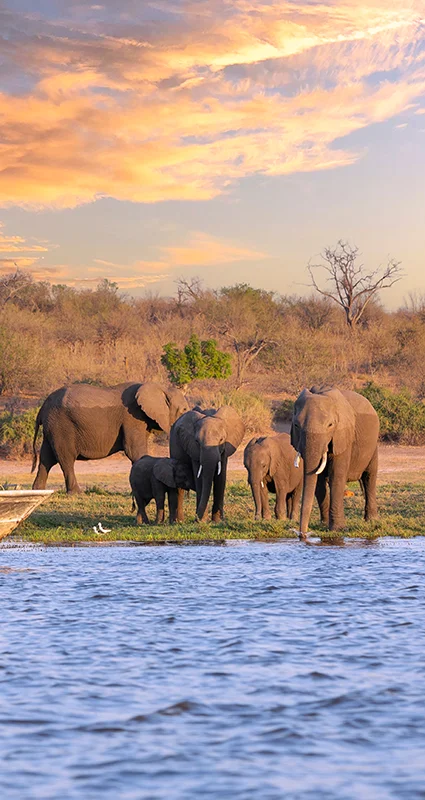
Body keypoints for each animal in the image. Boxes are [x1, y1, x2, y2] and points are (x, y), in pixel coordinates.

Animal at [32, 382, 189, 493]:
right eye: (184, 410)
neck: (160, 387)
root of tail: (42, 408)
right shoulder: (132, 417)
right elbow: (134, 450)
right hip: (61, 425)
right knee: (66, 458)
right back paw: (76, 493)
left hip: (52, 427)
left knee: (47, 458)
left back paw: (38, 490)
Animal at [291, 385, 379, 535]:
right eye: (296, 425)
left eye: (330, 425)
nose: (303, 534)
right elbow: (318, 482)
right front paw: (324, 525)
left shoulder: (343, 436)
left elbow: (336, 476)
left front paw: (338, 529)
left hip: (374, 444)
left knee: (369, 477)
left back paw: (371, 520)